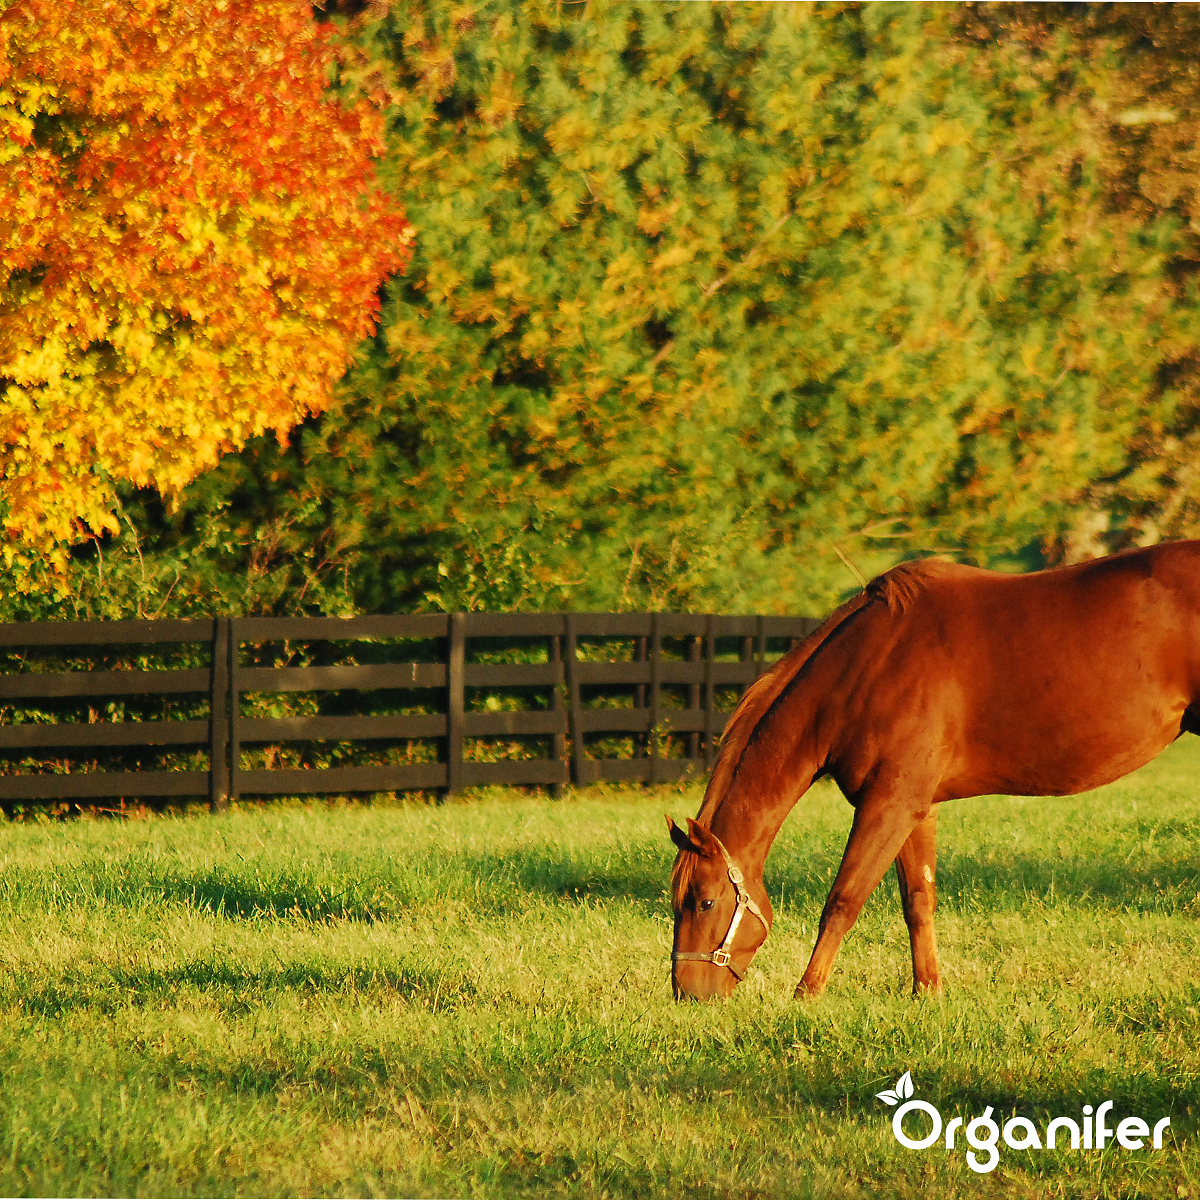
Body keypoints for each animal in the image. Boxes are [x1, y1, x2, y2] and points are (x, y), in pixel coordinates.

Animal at [672, 544, 1200, 1003]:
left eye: (703, 901)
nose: (687, 993)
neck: (867, 665)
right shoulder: (913, 808)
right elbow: (918, 901)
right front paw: (927, 991)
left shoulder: (889, 804)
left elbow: (843, 901)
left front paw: (807, 993)